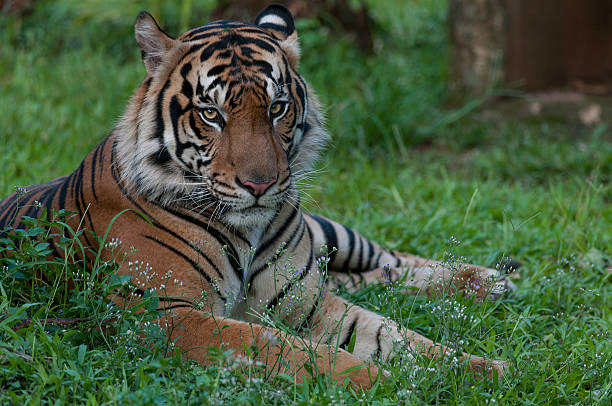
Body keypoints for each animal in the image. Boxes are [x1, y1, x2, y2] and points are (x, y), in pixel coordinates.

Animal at [0, 5, 516, 386]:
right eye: (211, 113)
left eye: (277, 108)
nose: (260, 185)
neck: (246, 231)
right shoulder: (165, 315)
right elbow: (284, 348)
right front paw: (380, 382)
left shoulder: (310, 303)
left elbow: (404, 339)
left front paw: (485, 371)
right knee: (365, 276)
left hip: (331, 236)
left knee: (385, 260)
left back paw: (488, 280)